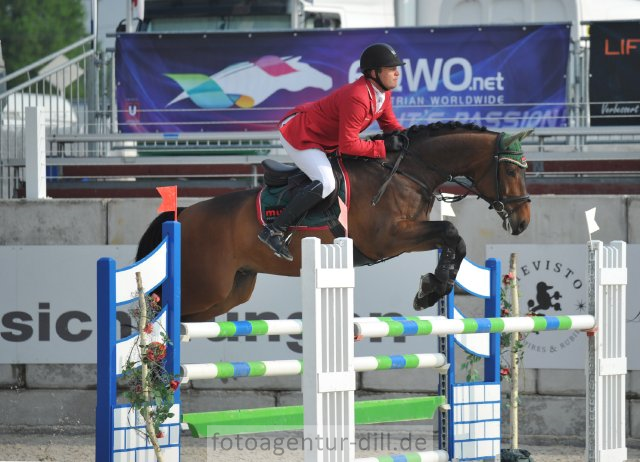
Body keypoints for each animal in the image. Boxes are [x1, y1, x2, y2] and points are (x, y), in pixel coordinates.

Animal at [138, 122, 532, 322]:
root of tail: (185, 214)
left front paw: (433, 286)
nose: (523, 222)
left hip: (229, 292)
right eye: (512, 171)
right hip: (206, 287)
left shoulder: (408, 235)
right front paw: (431, 288)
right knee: (163, 309)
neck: (407, 171)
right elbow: (451, 231)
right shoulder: (388, 237)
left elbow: (454, 240)